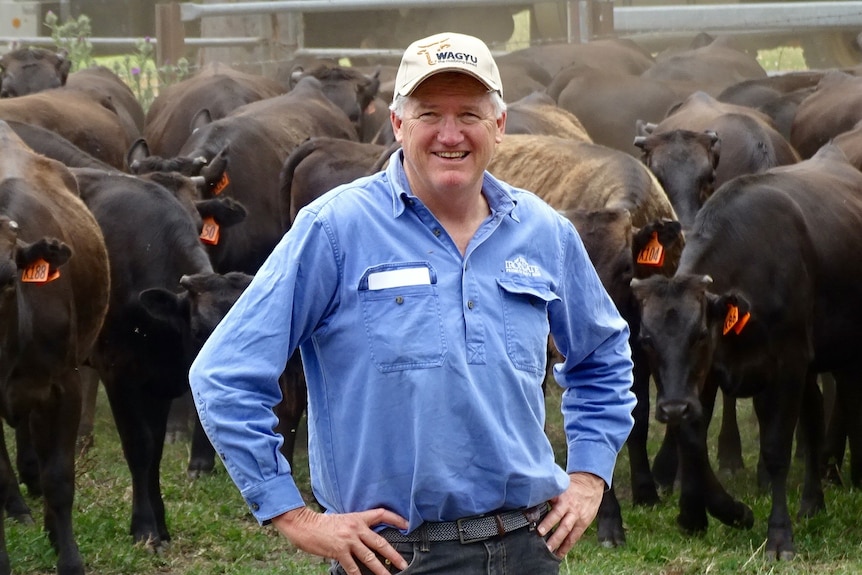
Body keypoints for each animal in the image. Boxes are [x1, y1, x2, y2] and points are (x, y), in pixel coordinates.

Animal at [636, 143, 862, 560]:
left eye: (700, 334)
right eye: (646, 339)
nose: (671, 407)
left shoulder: (787, 364)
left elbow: (775, 450)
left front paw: (779, 536)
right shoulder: (707, 377)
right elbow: (693, 442)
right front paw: (714, 513)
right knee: (813, 415)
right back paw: (812, 503)